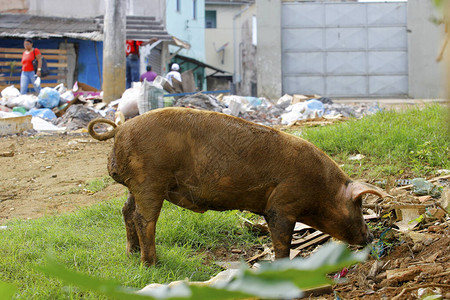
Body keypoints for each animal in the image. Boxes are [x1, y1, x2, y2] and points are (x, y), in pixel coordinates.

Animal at [88, 106, 386, 266]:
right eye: (358, 207)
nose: (370, 236)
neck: (322, 189)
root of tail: (119, 129)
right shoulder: (282, 206)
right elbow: (282, 241)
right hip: (149, 179)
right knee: (143, 218)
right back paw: (151, 263)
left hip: (137, 185)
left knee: (127, 211)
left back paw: (132, 254)